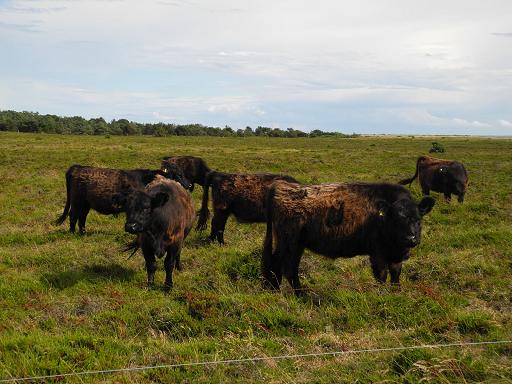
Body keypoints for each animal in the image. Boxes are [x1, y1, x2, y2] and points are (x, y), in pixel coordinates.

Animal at [54, 163, 190, 232]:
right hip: (77, 201)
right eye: (178, 175)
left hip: (86, 203)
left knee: (82, 217)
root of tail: (77, 167)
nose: (189, 185)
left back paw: (83, 233)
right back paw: (72, 233)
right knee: (73, 215)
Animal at [264, 180, 436, 294]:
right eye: (396, 220)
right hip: (288, 243)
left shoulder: (396, 256)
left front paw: (396, 294)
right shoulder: (377, 254)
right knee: (279, 265)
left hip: (297, 245)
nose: (410, 239)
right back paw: (282, 292)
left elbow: (395, 275)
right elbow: (382, 276)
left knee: (289, 268)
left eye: (418, 219)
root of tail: (280, 189)